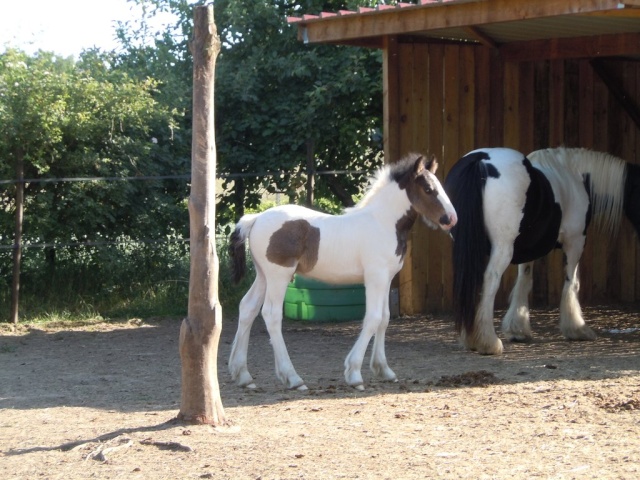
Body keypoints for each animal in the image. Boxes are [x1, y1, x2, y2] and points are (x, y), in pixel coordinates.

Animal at [228, 154, 458, 390]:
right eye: (428, 189)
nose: (451, 218)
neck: (382, 222)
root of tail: (255, 218)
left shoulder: (386, 279)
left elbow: (384, 318)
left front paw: (383, 369)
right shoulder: (375, 277)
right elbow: (373, 318)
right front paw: (354, 373)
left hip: (263, 276)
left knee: (247, 308)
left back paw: (243, 375)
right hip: (279, 276)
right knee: (271, 315)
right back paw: (293, 378)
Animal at [442, 148, 640, 354]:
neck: (575, 175)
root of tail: (479, 160)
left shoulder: (527, 249)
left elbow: (524, 281)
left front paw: (518, 330)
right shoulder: (576, 241)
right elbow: (572, 283)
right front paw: (577, 329)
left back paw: (472, 338)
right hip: (503, 247)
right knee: (490, 280)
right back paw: (488, 342)